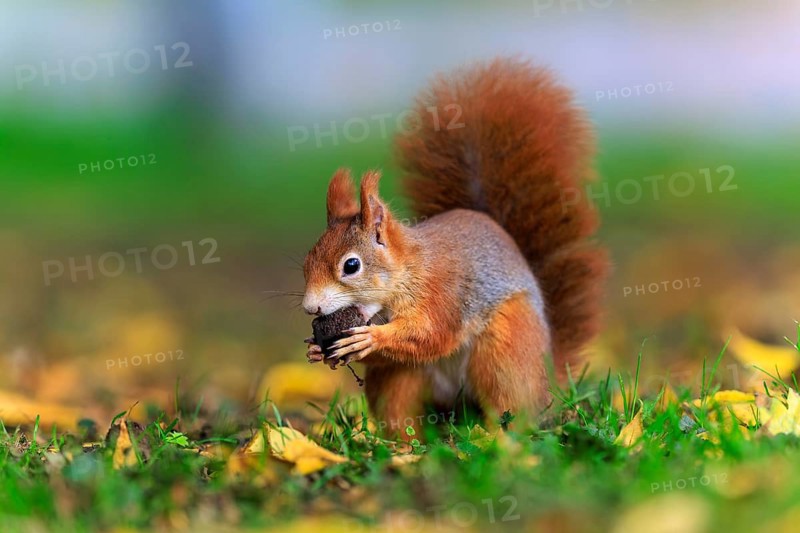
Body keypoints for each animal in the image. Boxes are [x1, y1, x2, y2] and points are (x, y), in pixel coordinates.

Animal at [302, 58, 608, 433]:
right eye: (306, 262)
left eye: (351, 265)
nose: (310, 307)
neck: (408, 272)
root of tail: (548, 383)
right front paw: (316, 350)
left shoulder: (444, 293)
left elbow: (431, 334)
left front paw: (372, 338)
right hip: (399, 380)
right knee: (400, 409)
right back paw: (400, 442)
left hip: (505, 348)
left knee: (509, 405)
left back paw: (495, 436)